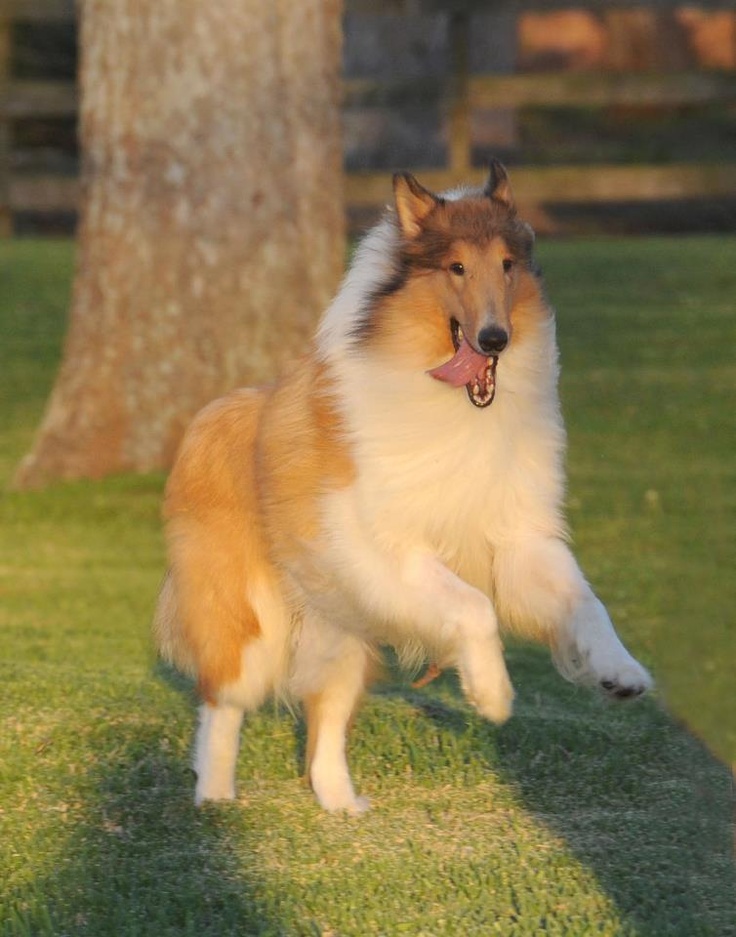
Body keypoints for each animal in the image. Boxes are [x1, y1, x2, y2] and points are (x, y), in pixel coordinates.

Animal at [154, 166, 648, 812]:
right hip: (248, 616)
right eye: (456, 267)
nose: (495, 339)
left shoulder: (519, 539)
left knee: (326, 719)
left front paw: (620, 674)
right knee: (223, 702)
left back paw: (342, 805)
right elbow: (475, 607)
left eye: (507, 264)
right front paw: (492, 694)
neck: (463, 407)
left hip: (340, 630)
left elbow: (584, 602)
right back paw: (213, 800)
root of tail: (206, 421)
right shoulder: (391, 547)